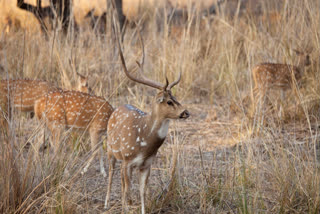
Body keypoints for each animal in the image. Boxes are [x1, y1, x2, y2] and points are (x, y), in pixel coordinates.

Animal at [104, 30, 190, 213]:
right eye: (168, 101)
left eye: (175, 97)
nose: (186, 112)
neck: (143, 141)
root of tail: (118, 107)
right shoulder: (128, 159)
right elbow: (127, 191)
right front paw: (124, 209)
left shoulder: (147, 164)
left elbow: (142, 192)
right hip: (110, 149)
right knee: (111, 173)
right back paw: (106, 203)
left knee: (121, 181)